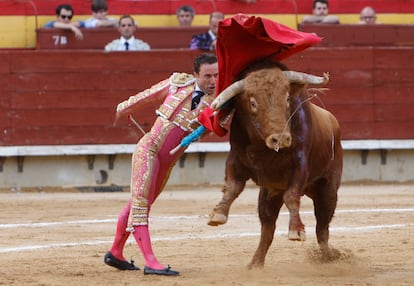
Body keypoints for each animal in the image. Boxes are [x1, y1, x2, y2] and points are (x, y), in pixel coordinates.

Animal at [209, 60, 342, 268]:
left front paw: (296, 231)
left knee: (322, 227)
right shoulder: (235, 160)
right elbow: (232, 187)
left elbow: (292, 195)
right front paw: (218, 214)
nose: (280, 138)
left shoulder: (300, 165)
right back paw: (255, 263)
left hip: (328, 189)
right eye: (253, 103)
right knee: (268, 227)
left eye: (287, 99)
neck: (264, 148)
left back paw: (330, 256)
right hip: (270, 193)